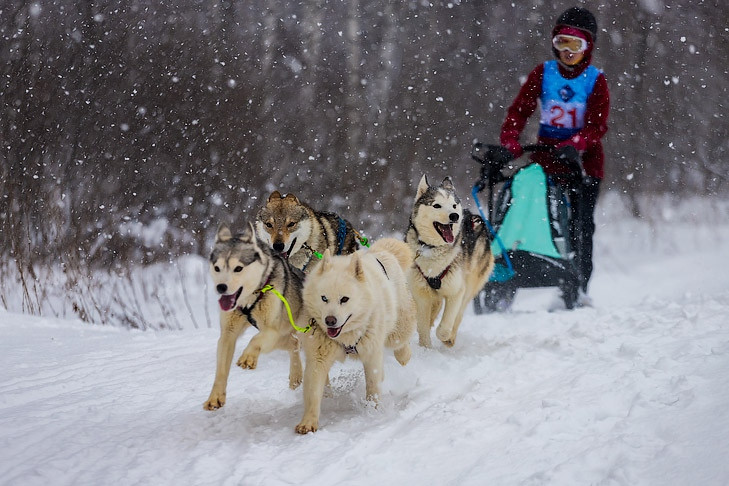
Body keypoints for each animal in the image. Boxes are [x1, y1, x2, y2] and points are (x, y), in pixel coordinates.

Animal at [203, 224, 306, 410]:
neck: (249, 300)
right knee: (293, 343)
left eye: (238, 268)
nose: (221, 287)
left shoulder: (272, 330)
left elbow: (255, 340)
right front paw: (215, 397)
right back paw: (295, 376)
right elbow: (221, 369)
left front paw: (248, 357)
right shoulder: (227, 335)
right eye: (217, 268)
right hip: (283, 338)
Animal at [292, 238, 412, 432]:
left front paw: (374, 412)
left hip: (398, 325)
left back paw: (404, 355)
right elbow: (313, 392)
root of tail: (378, 251)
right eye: (324, 298)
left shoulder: (372, 354)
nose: (330, 321)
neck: (346, 337)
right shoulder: (318, 358)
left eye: (344, 299)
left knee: (399, 340)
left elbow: (372, 386)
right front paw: (308, 422)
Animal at [406, 177, 492, 348]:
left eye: (453, 205)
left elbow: (445, 326)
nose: (454, 216)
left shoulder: (456, 291)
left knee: (458, 314)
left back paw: (451, 339)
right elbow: (423, 327)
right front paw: (426, 349)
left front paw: (445, 336)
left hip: (469, 286)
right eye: (436, 205)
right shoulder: (421, 295)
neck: (432, 249)